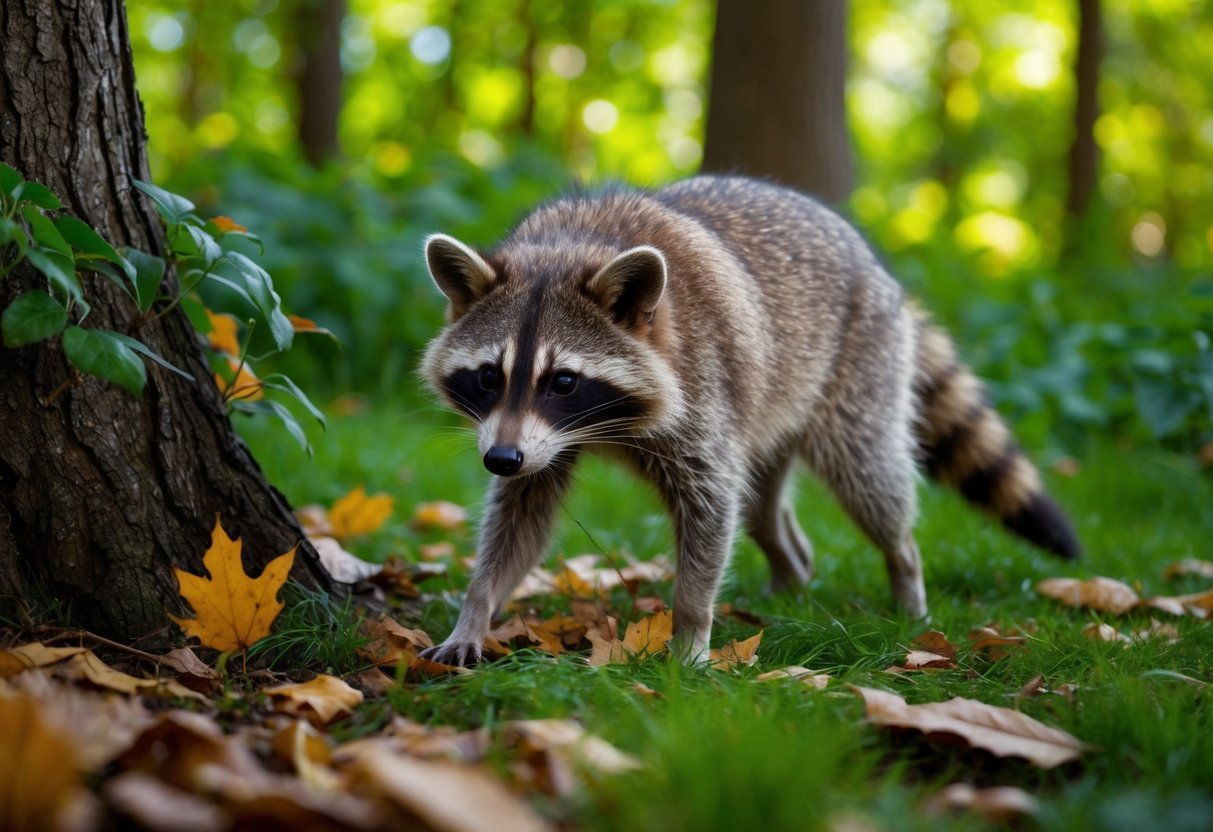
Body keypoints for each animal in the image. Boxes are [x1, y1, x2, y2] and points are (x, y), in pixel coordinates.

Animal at [418, 175, 1079, 666]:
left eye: (563, 381)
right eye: (488, 376)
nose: (499, 459)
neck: (572, 245)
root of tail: (873, 263)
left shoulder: (701, 388)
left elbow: (709, 507)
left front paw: (690, 631)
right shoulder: (534, 439)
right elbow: (520, 516)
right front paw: (476, 609)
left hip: (859, 373)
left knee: (869, 483)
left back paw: (905, 577)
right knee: (760, 510)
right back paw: (790, 579)